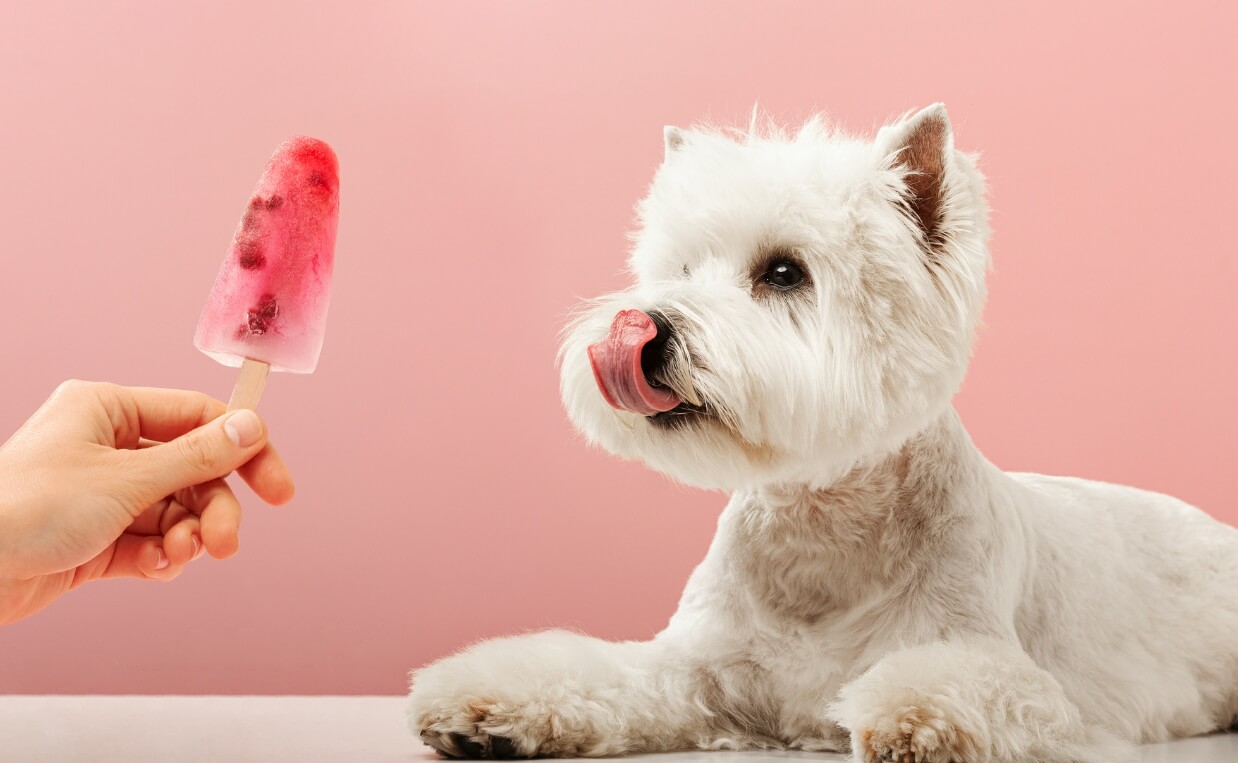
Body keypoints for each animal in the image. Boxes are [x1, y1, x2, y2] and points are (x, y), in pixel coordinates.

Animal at [408, 105, 1238, 763]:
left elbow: (959, 685)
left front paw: (915, 722)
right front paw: (483, 705)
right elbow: (598, 670)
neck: (820, 531)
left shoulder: (1000, 665)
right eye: (681, 267)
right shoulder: (695, 663)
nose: (643, 328)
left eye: (783, 273)